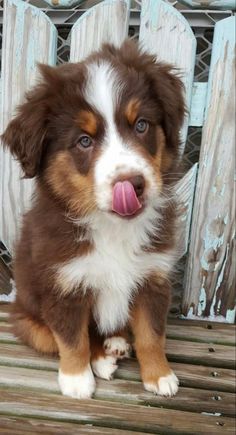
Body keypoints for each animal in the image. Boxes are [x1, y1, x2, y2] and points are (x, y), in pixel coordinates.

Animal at [2, 40, 185, 398]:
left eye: (141, 125)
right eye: (84, 141)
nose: (132, 184)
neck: (112, 228)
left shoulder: (153, 277)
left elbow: (151, 334)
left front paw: (159, 375)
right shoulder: (62, 284)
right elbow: (73, 339)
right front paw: (76, 380)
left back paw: (116, 344)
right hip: (29, 320)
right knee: (63, 337)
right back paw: (101, 358)